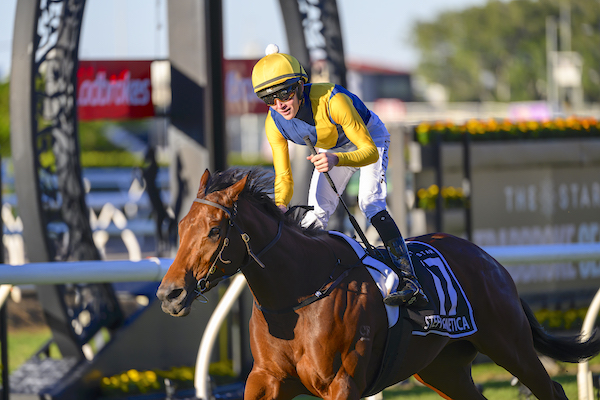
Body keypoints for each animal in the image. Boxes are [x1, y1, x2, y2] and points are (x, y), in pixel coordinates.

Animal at [157, 167, 600, 398]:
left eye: (215, 230)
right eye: (181, 226)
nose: (169, 294)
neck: (298, 295)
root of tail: (491, 262)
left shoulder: (342, 383)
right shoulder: (267, 379)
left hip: (510, 345)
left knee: (551, 389)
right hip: (443, 368)